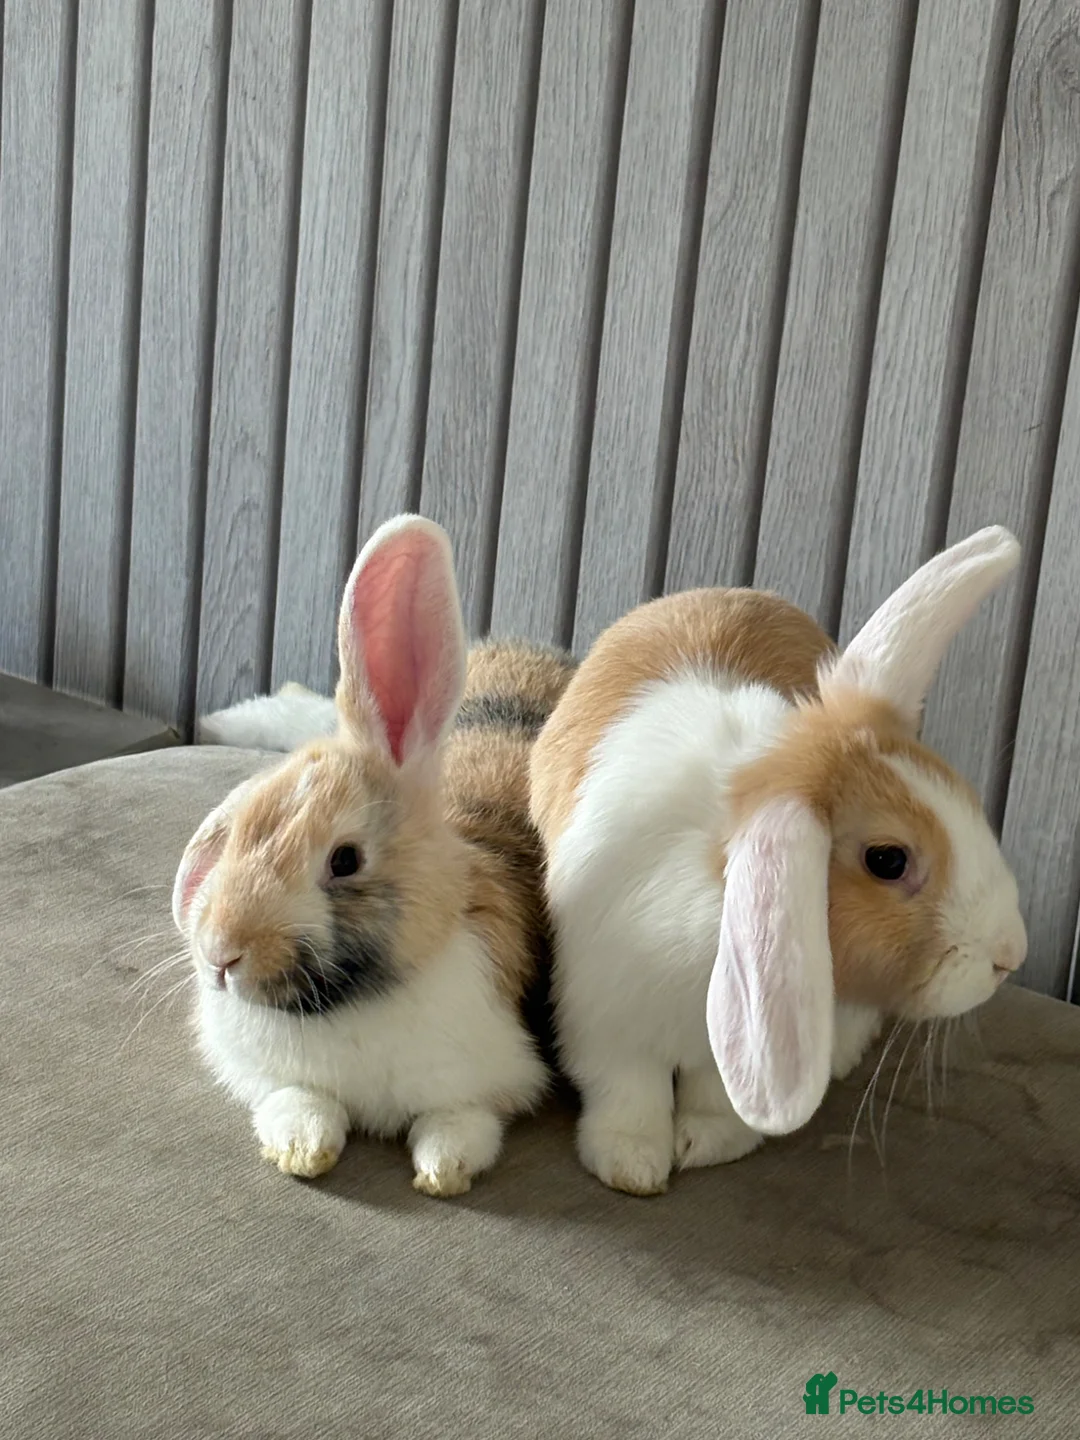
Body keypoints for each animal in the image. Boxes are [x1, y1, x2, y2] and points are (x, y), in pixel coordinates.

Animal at [173, 514, 576, 1196]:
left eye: (344, 861)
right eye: (245, 823)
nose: (221, 955)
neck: (352, 1006)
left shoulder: (490, 1081)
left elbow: (461, 1122)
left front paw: (443, 1171)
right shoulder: (268, 1075)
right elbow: (296, 1100)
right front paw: (302, 1147)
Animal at [529, 526, 1028, 1196]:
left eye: (968, 799)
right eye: (888, 860)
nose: (1010, 956)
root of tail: (730, 589)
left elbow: (716, 1097)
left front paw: (708, 1144)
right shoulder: (605, 1018)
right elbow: (626, 1093)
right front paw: (631, 1163)